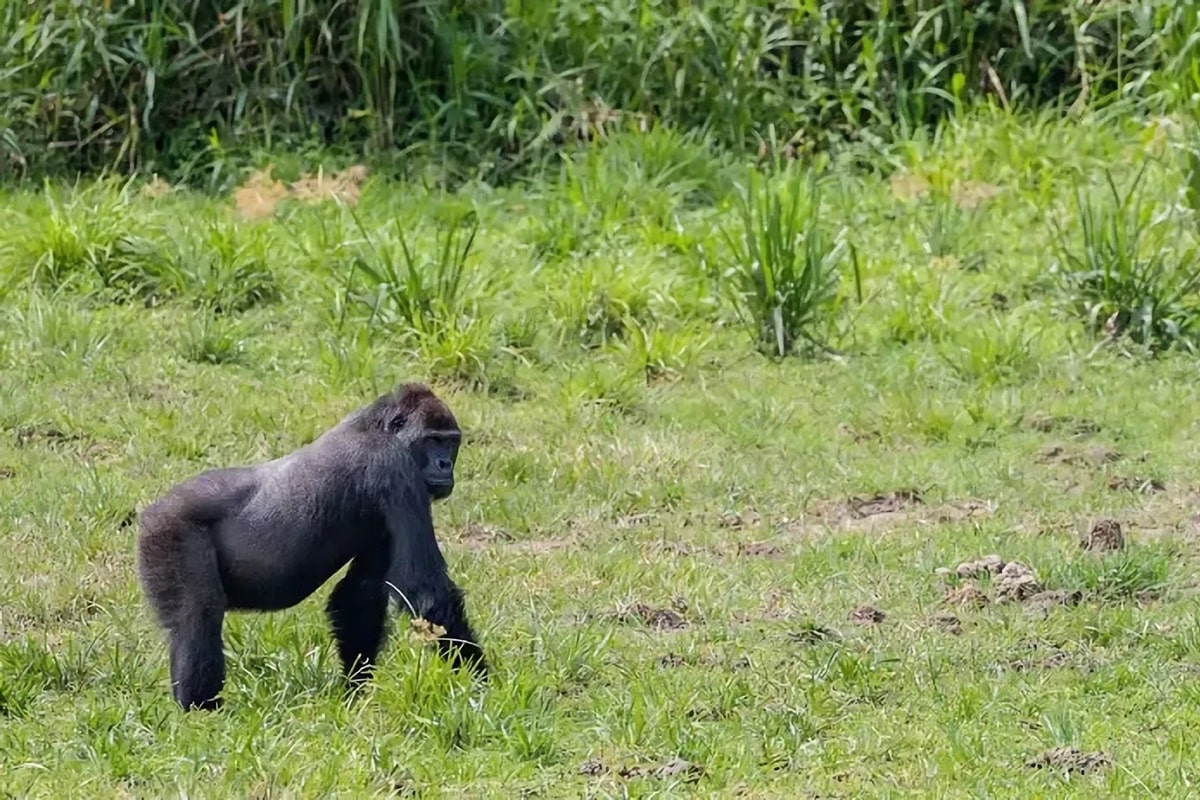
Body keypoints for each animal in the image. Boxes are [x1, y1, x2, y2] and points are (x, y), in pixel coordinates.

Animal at [135, 383, 482, 710]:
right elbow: (424, 588)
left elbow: (361, 594)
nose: (444, 465)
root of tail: (150, 510)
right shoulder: (394, 467)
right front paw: (479, 684)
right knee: (197, 616)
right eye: (433, 440)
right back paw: (200, 709)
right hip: (169, 529)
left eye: (451, 442)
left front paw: (354, 691)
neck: (376, 426)